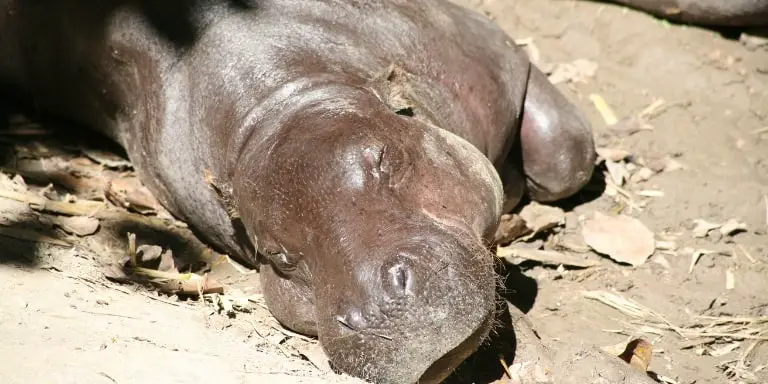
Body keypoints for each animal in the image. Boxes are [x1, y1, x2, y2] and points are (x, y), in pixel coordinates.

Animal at [0, 1, 592, 382]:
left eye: (384, 158)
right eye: (279, 255)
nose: (381, 311)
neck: (285, 97)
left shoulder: (491, 52)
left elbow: (567, 155)